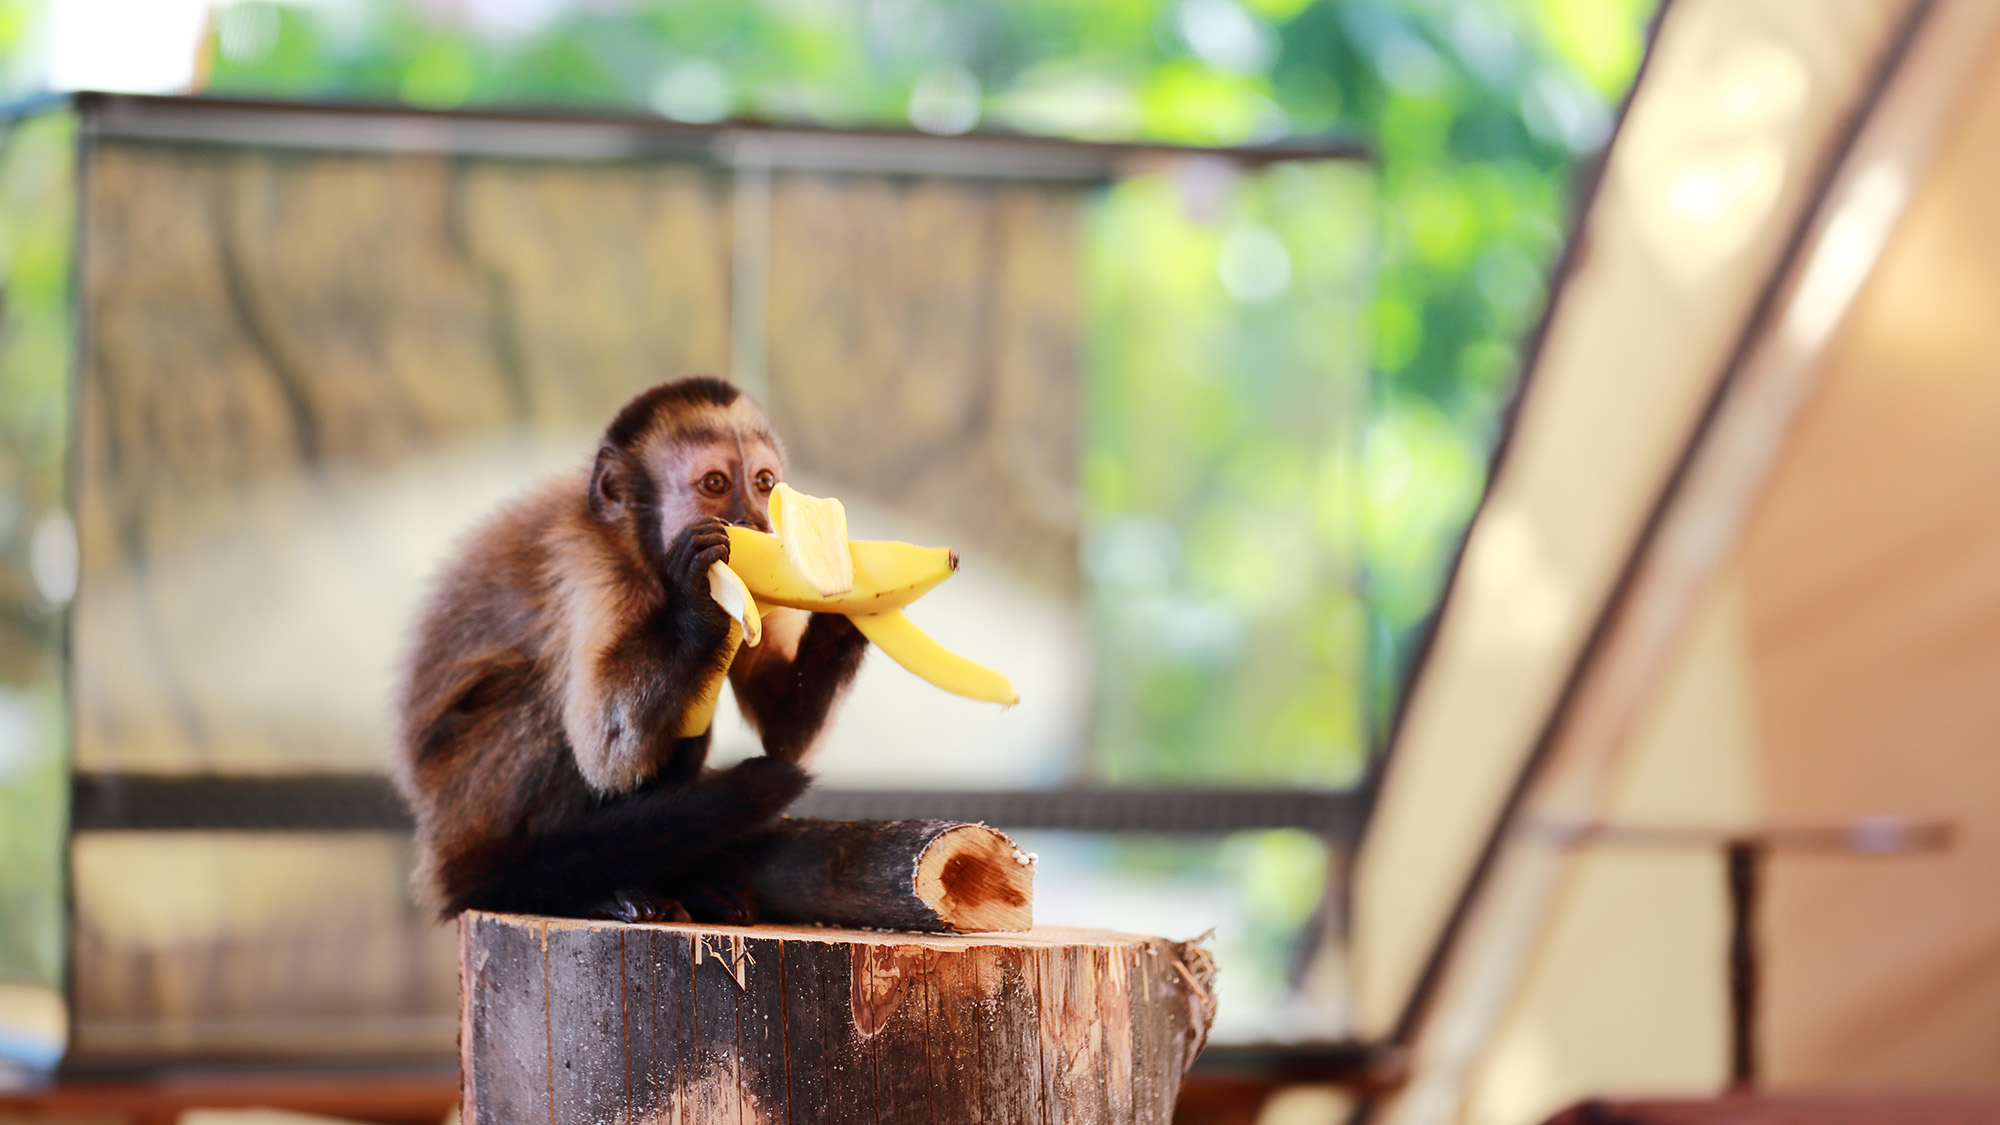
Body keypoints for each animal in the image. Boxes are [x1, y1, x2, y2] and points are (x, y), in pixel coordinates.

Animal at [390, 376, 868, 920]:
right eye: (716, 484)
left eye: (764, 483)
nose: (755, 521)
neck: (641, 551)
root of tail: (445, 851)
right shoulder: (589, 563)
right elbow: (604, 754)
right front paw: (695, 606)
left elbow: (782, 732)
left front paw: (848, 616)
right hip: (475, 800)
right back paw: (569, 882)